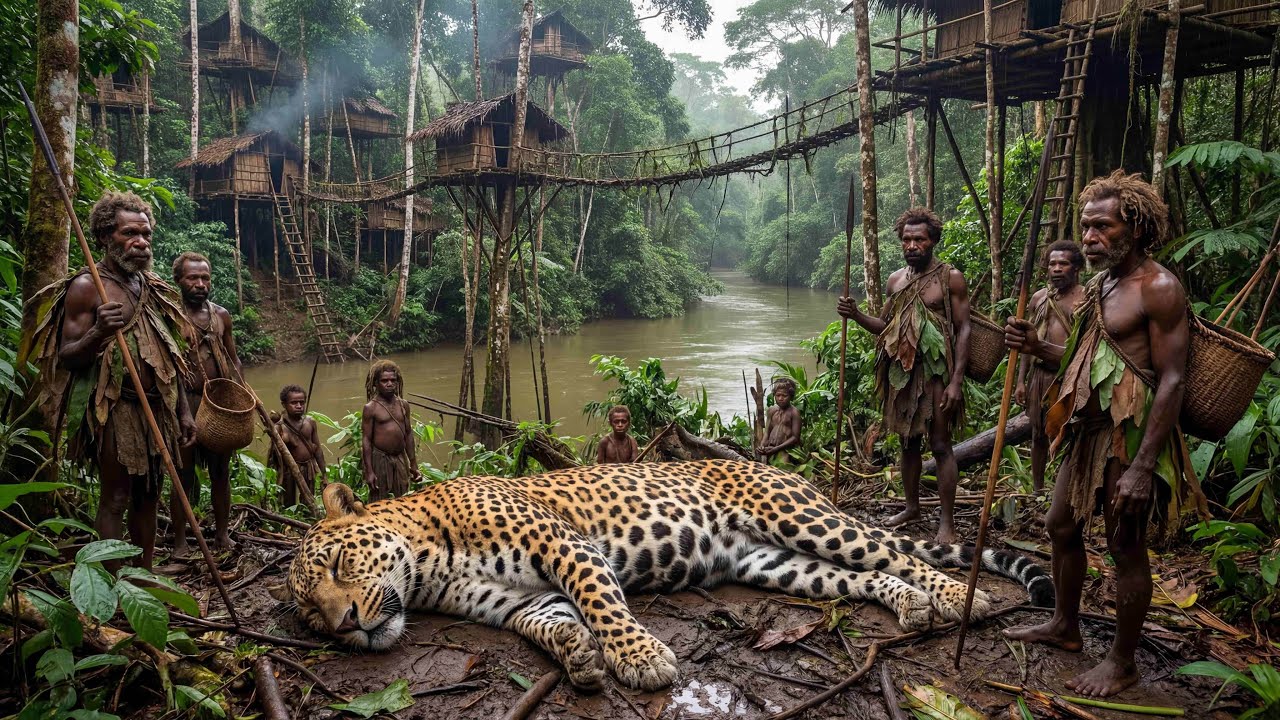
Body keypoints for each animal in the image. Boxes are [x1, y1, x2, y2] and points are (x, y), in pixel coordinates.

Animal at [271, 460, 1053, 691]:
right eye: (310, 614)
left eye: (339, 565)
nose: (347, 623)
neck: (429, 563)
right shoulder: (510, 599)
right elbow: (551, 623)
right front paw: (582, 658)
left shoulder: (562, 544)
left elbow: (602, 602)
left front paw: (641, 658)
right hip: (777, 563)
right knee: (862, 577)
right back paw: (912, 607)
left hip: (800, 517)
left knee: (898, 552)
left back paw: (957, 598)